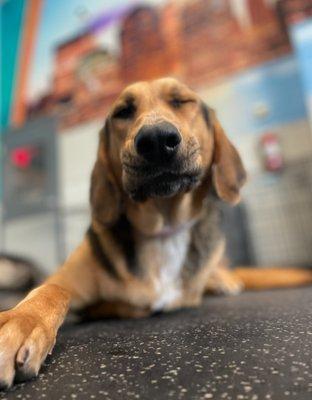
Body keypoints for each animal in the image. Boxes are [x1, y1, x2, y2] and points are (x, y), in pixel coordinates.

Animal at [0, 77, 312, 388]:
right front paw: (23, 321)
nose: (156, 140)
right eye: (123, 112)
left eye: (181, 101)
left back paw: (224, 281)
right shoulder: (66, 280)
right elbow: (52, 290)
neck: (164, 227)